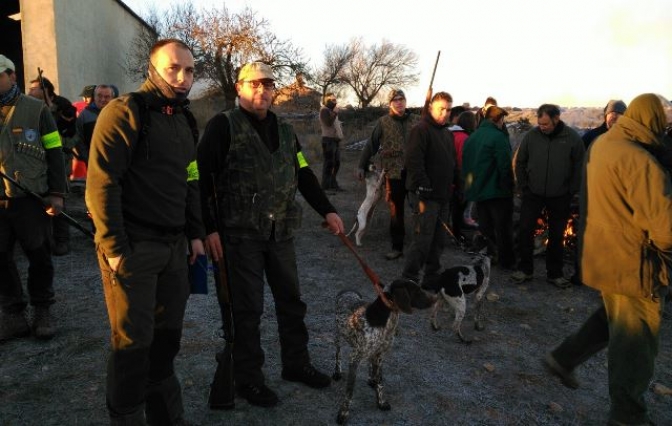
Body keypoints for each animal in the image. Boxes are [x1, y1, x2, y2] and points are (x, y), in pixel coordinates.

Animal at [332, 278, 436, 424]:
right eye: (417, 290)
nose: (435, 298)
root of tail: (348, 290)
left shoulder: (380, 355)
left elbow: (380, 381)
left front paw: (381, 402)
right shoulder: (354, 359)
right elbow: (349, 391)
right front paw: (343, 413)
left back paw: (371, 378)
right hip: (338, 336)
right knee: (338, 354)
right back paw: (337, 372)